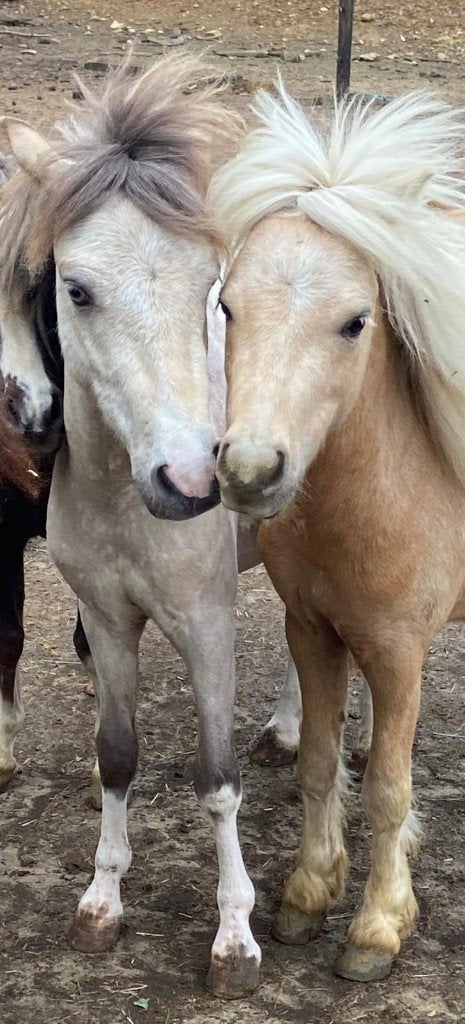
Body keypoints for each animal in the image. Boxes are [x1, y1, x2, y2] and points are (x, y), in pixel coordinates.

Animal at [0, 54, 263, 1000]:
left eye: (212, 289)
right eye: (74, 289)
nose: (189, 483)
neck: (124, 498)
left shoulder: (208, 626)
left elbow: (216, 778)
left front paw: (234, 938)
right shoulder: (110, 623)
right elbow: (116, 753)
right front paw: (102, 901)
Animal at [211, 85, 465, 981]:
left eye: (355, 322)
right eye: (226, 306)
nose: (251, 470)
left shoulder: (398, 653)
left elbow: (388, 787)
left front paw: (377, 926)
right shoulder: (312, 630)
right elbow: (320, 760)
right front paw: (308, 891)